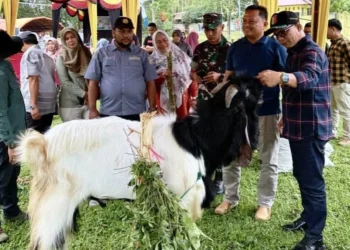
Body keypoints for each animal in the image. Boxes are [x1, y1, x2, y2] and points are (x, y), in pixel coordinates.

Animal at [17, 77, 262, 249]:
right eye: (245, 105)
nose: (256, 141)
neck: (195, 138)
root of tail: (42, 144)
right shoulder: (182, 200)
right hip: (54, 206)